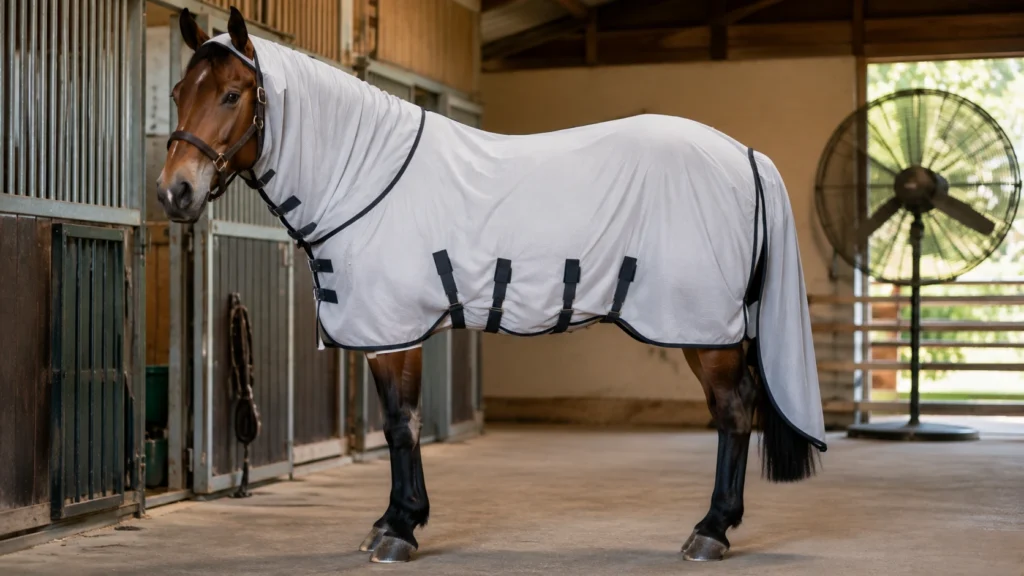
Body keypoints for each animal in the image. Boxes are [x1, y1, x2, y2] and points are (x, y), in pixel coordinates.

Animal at [158, 7, 827, 564]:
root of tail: (745, 155)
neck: (367, 177)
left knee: (734, 410)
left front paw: (400, 530)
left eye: (232, 93)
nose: (174, 192)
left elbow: (402, 423)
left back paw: (710, 532)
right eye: (176, 93)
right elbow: (401, 422)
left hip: (706, 333)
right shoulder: (386, 335)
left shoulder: (396, 332)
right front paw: (392, 521)